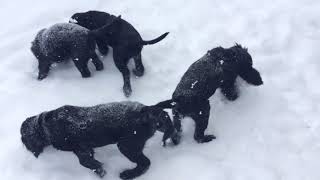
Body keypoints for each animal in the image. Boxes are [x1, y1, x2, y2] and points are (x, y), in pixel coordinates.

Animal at [20, 100, 175, 179]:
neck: (44, 126)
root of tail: (147, 110)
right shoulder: (85, 149)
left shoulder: (80, 148)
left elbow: (86, 162)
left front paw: (99, 170)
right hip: (155, 126)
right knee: (167, 122)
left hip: (127, 145)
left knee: (145, 163)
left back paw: (129, 174)